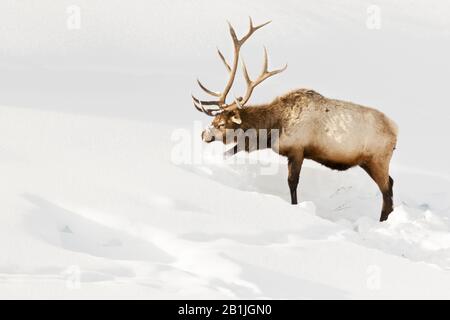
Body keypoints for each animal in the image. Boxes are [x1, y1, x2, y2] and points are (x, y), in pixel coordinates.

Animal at [192, 18, 400, 221]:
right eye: (214, 120)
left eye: (221, 124)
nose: (203, 134)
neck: (272, 129)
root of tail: (395, 130)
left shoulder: (297, 150)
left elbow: (292, 183)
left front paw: (295, 206)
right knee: (390, 184)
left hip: (378, 160)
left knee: (387, 190)